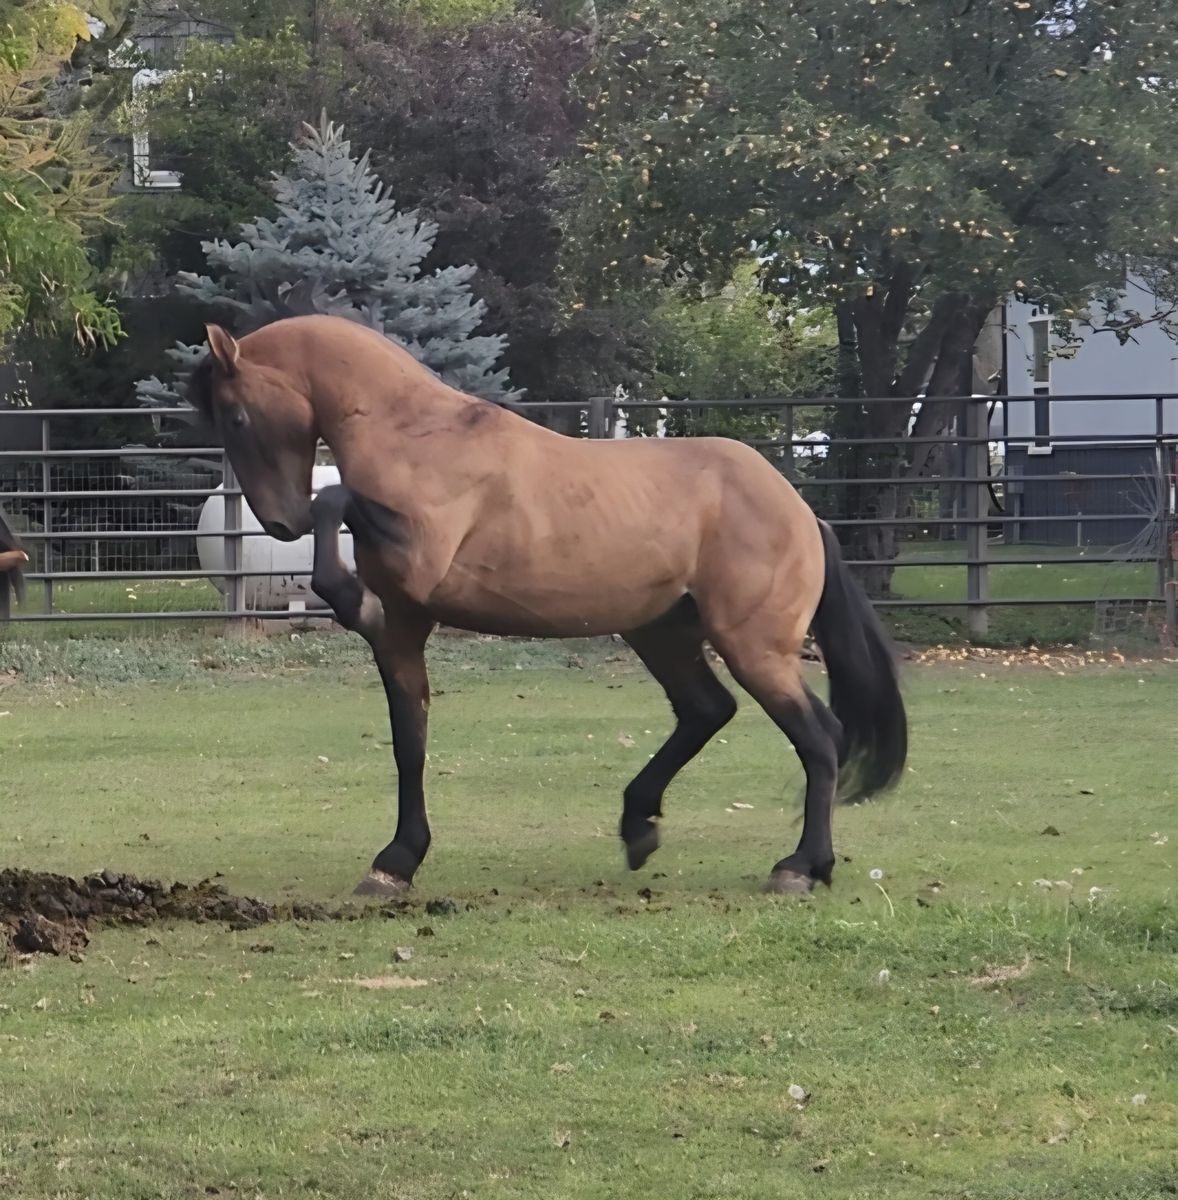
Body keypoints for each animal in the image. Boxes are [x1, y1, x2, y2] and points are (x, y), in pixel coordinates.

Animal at [188, 314, 907, 898]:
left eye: (237, 416)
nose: (278, 524)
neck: (418, 435)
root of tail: (804, 513)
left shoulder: (419, 556)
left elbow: (334, 501)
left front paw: (345, 597)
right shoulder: (405, 630)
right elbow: (409, 744)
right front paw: (396, 861)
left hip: (754, 647)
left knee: (819, 737)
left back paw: (800, 867)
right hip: (662, 634)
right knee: (709, 710)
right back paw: (641, 826)